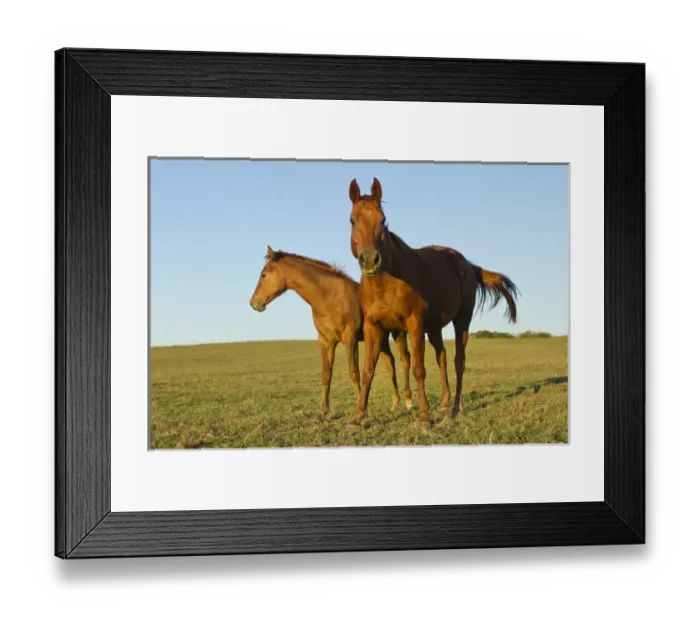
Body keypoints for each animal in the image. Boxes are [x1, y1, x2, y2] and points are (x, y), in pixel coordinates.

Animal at [249, 246, 413, 420]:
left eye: (263, 274)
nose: (254, 303)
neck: (329, 297)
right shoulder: (326, 341)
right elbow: (326, 374)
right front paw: (323, 411)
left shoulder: (350, 338)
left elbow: (354, 372)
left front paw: (361, 411)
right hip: (380, 338)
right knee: (390, 363)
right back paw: (395, 404)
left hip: (398, 334)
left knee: (405, 359)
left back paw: (409, 401)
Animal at [347, 177, 519, 426]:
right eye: (352, 220)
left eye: (383, 220)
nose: (370, 260)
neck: (386, 283)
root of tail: (467, 264)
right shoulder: (373, 327)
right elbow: (369, 369)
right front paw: (358, 417)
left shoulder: (415, 323)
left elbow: (419, 368)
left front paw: (424, 416)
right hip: (435, 327)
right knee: (442, 356)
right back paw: (446, 401)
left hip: (462, 320)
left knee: (458, 360)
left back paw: (455, 406)